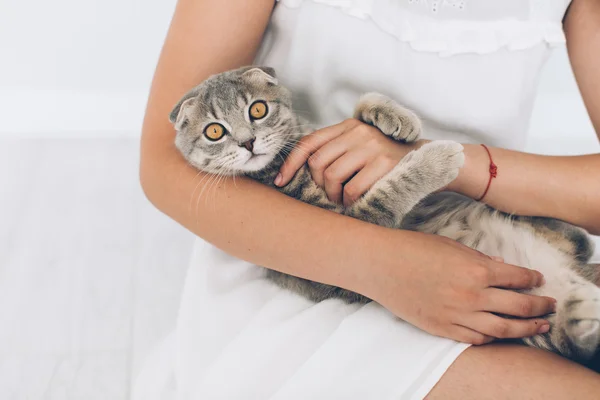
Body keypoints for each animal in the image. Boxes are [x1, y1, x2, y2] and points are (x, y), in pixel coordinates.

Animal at [170, 66, 600, 362]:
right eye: (214, 131)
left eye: (257, 110)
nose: (248, 142)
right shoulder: (356, 223)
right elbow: (389, 192)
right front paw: (437, 158)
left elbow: (358, 107)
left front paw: (394, 117)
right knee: (574, 338)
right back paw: (584, 313)